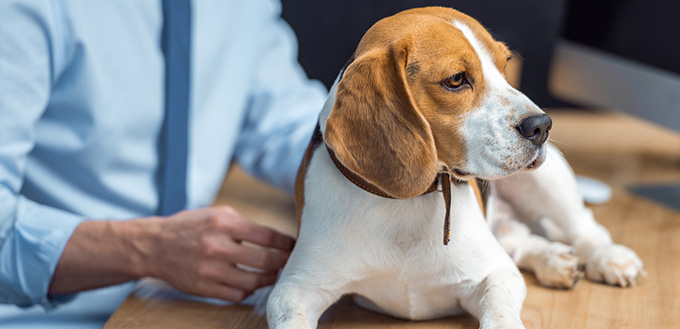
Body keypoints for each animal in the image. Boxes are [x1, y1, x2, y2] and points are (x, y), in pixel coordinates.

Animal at [266, 7, 644, 328]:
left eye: (504, 64)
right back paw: (553, 259)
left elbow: (499, 310)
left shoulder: (496, 274)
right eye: (457, 79)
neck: (407, 203)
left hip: (546, 180)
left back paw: (608, 258)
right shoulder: (293, 289)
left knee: (584, 226)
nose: (542, 126)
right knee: (520, 240)